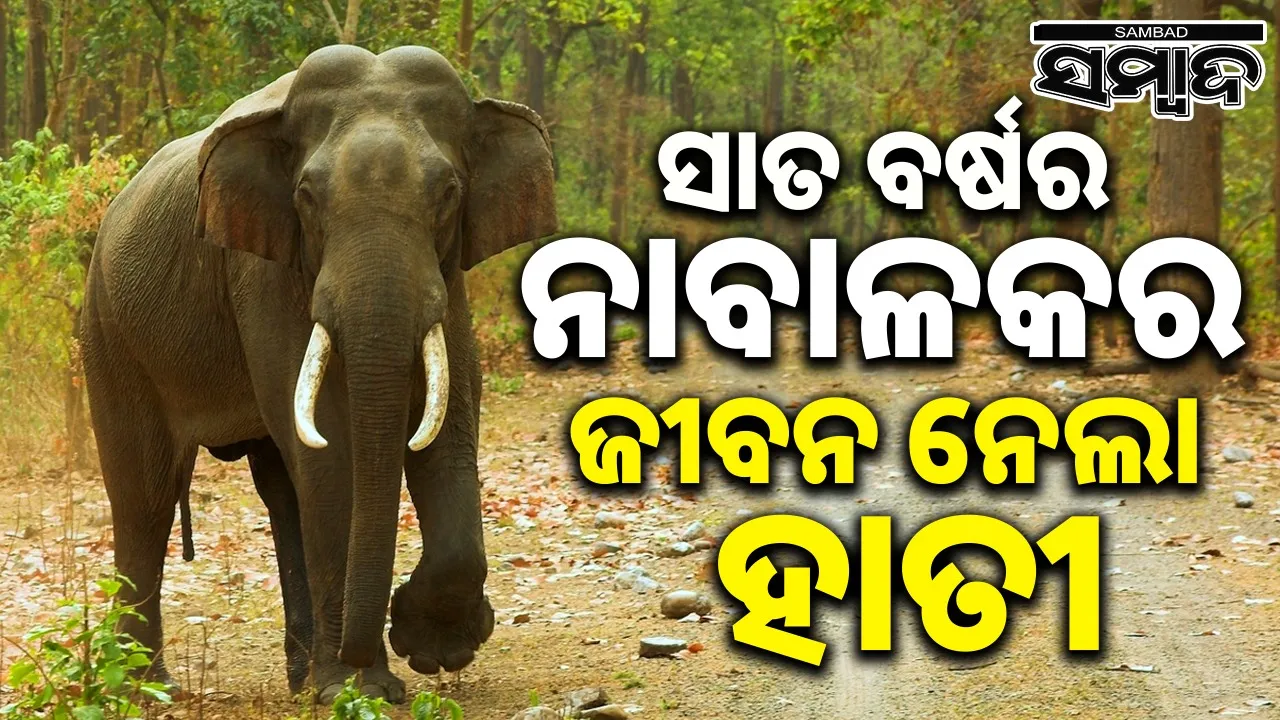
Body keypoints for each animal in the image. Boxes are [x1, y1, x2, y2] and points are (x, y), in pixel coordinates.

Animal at [80, 44, 556, 702]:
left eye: (448, 192)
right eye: (306, 195)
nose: (367, 650)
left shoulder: (447, 269)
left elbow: (449, 422)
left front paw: (431, 650)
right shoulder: (262, 267)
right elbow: (331, 448)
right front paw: (357, 690)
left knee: (280, 489)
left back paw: (296, 678)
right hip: (110, 335)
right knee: (143, 496)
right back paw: (145, 688)